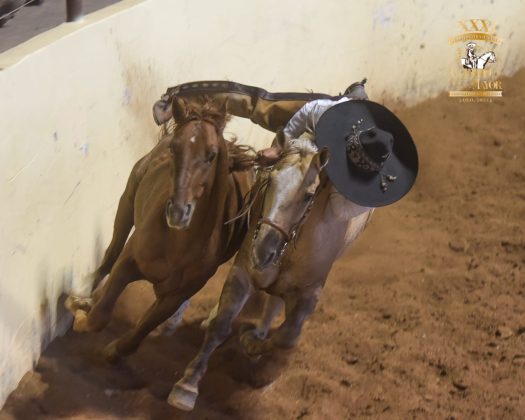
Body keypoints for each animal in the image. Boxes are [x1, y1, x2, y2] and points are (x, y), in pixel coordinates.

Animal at [64, 97, 256, 362]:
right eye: (174, 148)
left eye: (211, 155)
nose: (178, 212)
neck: (177, 246)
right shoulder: (129, 261)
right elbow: (100, 315)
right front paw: (78, 307)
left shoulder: (176, 295)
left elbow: (138, 334)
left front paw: (114, 349)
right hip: (127, 200)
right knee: (111, 253)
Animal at [168, 136, 372, 408]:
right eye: (271, 179)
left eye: (309, 195)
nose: (263, 250)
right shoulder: (243, 271)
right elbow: (222, 324)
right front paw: (187, 384)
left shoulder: (309, 294)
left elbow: (288, 337)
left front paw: (251, 342)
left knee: (274, 306)